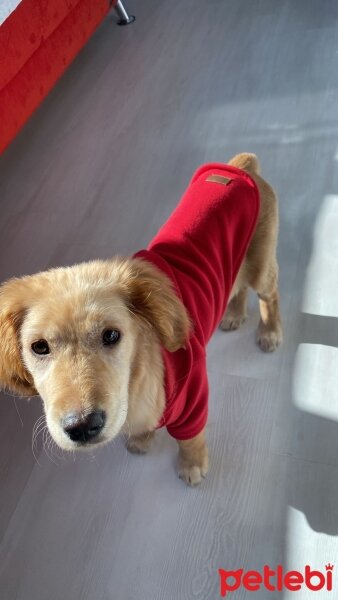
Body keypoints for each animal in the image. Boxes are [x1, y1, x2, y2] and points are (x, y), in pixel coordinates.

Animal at [0, 152, 282, 486]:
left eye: (111, 335)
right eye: (39, 347)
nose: (82, 426)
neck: (137, 382)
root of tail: (237, 168)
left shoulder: (194, 398)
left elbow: (190, 438)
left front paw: (192, 464)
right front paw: (142, 437)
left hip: (261, 265)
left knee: (269, 295)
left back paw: (270, 332)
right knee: (237, 288)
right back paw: (235, 314)